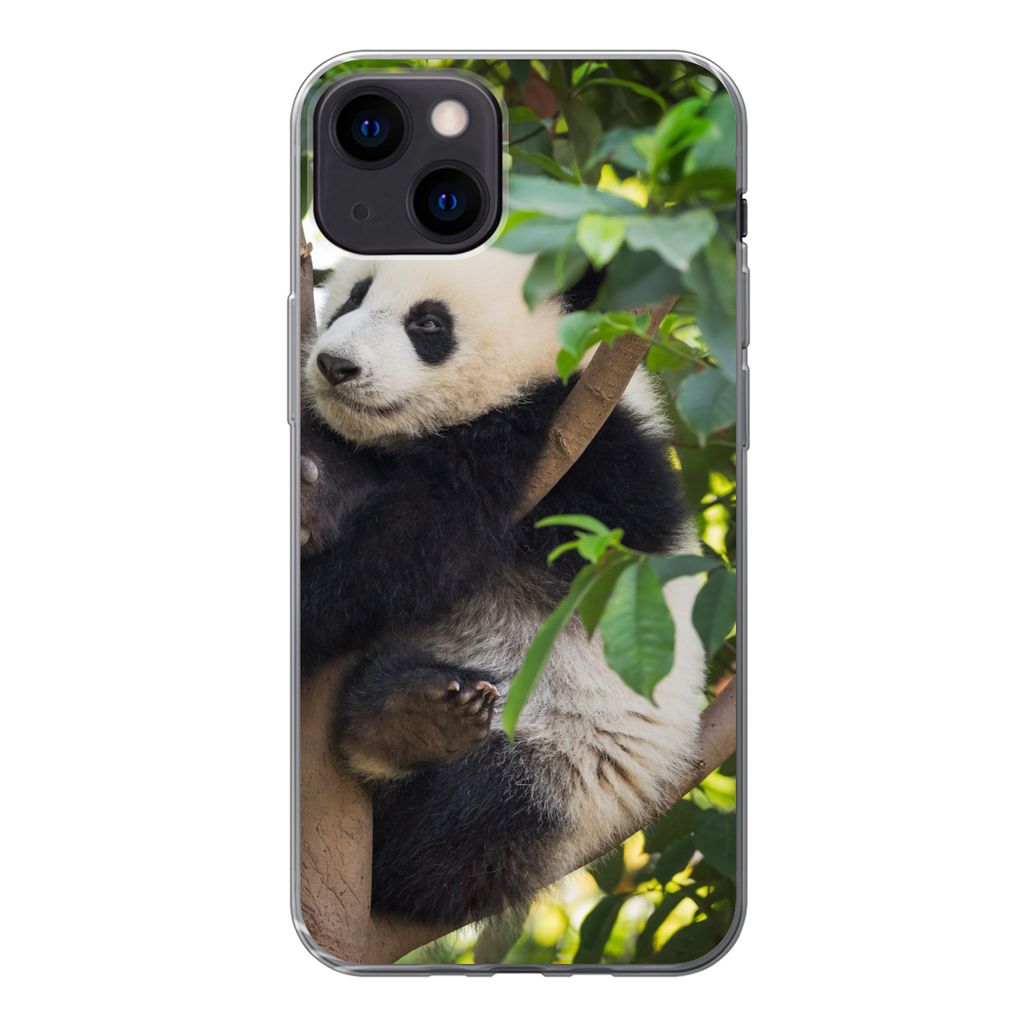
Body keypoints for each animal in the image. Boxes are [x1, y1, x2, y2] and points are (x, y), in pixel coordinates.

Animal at [300, 248, 707, 928]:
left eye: (429, 324)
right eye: (355, 296)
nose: (336, 366)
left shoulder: (570, 446)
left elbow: (419, 548)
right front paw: (316, 490)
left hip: (566, 766)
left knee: (456, 833)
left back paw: (406, 724)